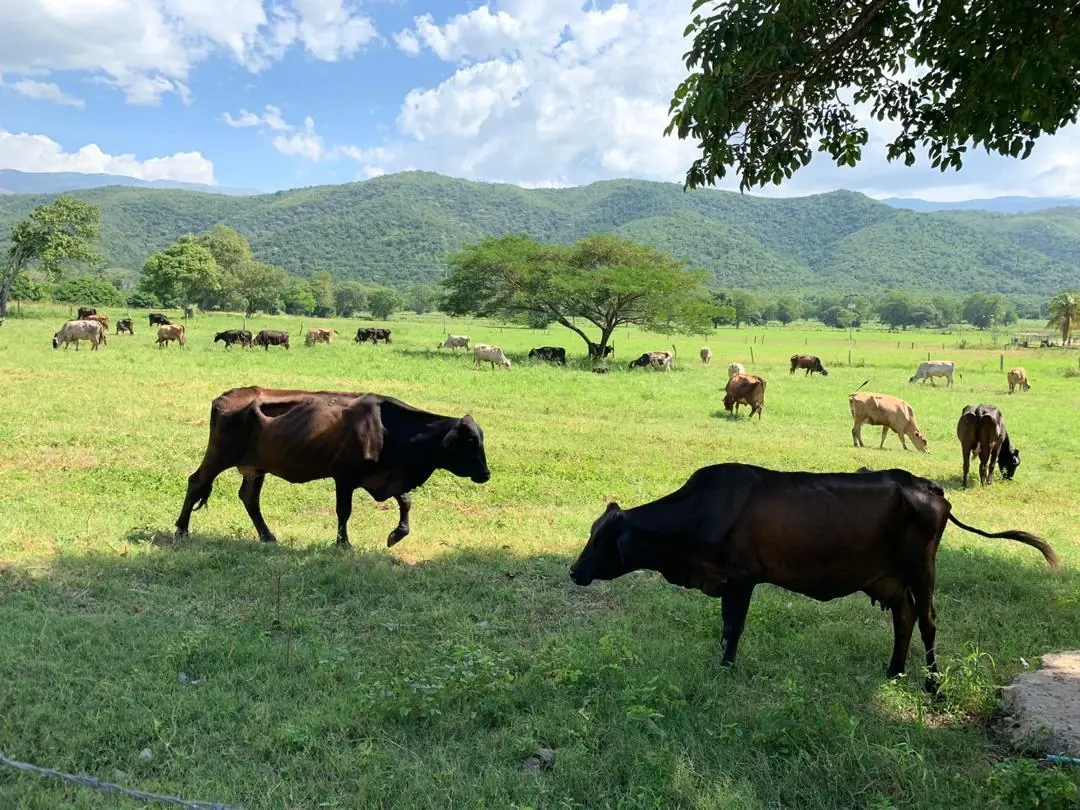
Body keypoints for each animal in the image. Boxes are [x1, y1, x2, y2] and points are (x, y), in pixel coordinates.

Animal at [175, 387, 491, 548]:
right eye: (470, 441)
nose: (486, 474)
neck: (385, 429)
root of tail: (223, 398)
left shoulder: (384, 478)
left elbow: (405, 502)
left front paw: (396, 535)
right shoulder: (345, 476)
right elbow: (344, 511)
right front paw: (343, 543)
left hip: (256, 467)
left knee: (249, 499)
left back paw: (268, 536)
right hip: (219, 455)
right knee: (197, 482)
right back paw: (181, 530)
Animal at [569, 463, 1059, 691]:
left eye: (600, 540)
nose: (574, 571)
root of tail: (926, 485)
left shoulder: (740, 579)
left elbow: (732, 628)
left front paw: (725, 668)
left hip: (922, 572)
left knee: (928, 623)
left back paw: (931, 684)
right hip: (889, 580)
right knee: (903, 619)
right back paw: (893, 672)